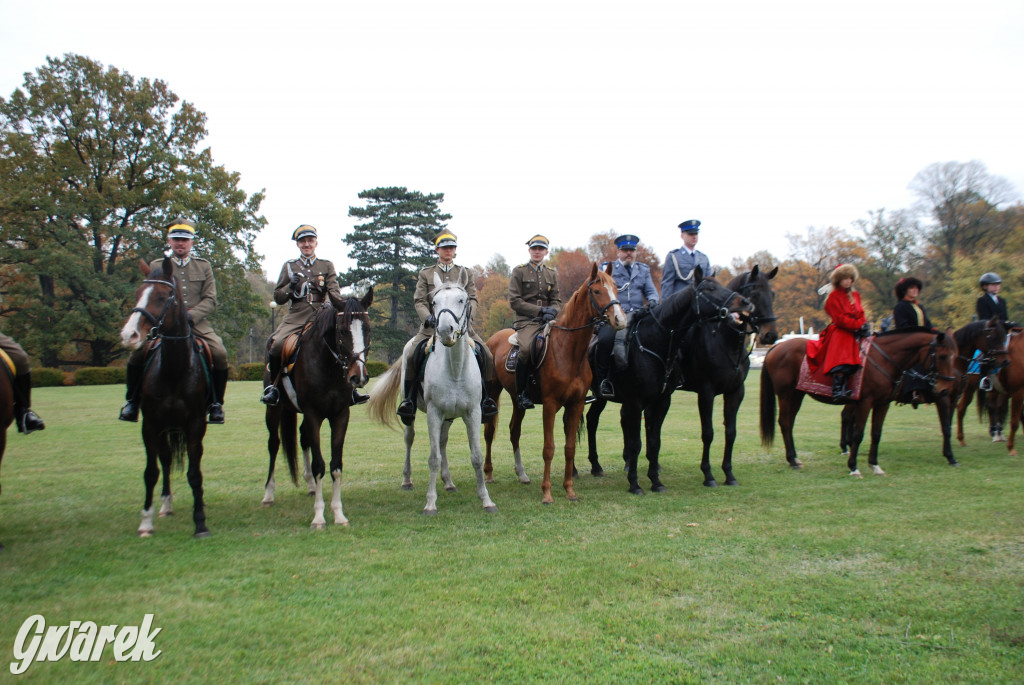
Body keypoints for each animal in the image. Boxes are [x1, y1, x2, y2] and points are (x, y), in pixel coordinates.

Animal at [262, 290, 374, 528]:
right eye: (342, 331)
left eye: (368, 329)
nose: (358, 377)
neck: (329, 367)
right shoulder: (313, 414)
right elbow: (319, 465)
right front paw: (319, 516)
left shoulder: (340, 415)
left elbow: (335, 465)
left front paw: (338, 513)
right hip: (274, 410)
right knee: (274, 444)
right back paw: (268, 494)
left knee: (303, 438)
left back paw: (312, 486)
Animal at [370, 272, 497, 511]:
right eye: (434, 302)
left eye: (461, 300)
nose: (445, 331)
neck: (455, 368)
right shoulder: (434, 413)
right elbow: (433, 458)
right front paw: (430, 503)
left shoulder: (473, 413)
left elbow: (475, 455)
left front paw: (486, 499)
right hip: (415, 413)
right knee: (409, 438)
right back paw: (407, 480)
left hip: (448, 417)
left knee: (443, 442)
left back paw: (448, 482)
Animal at [483, 262, 626, 501]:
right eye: (597, 291)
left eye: (616, 288)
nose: (620, 320)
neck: (569, 350)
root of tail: (492, 339)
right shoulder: (550, 405)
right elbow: (549, 448)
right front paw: (547, 493)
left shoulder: (576, 404)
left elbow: (569, 447)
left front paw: (569, 489)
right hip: (493, 392)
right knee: (489, 432)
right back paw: (488, 473)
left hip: (517, 399)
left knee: (514, 431)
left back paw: (521, 474)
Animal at [585, 264, 753, 493]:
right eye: (709, 289)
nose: (745, 303)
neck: (655, 342)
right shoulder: (637, 402)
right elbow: (637, 443)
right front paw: (635, 483)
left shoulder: (662, 401)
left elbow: (654, 441)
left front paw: (655, 481)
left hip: (601, 398)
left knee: (592, 420)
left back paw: (596, 466)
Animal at [761, 329, 958, 475]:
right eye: (942, 356)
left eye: (954, 356)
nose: (945, 389)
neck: (883, 360)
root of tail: (776, 346)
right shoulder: (865, 402)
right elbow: (858, 434)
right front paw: (853, 466)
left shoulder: (882, 404)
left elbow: (876, 434)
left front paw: (875, 465)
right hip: (787, 395)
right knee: (785, 423)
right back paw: (792, 460)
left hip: (797, 395)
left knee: (790, 423)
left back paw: (795, 458)